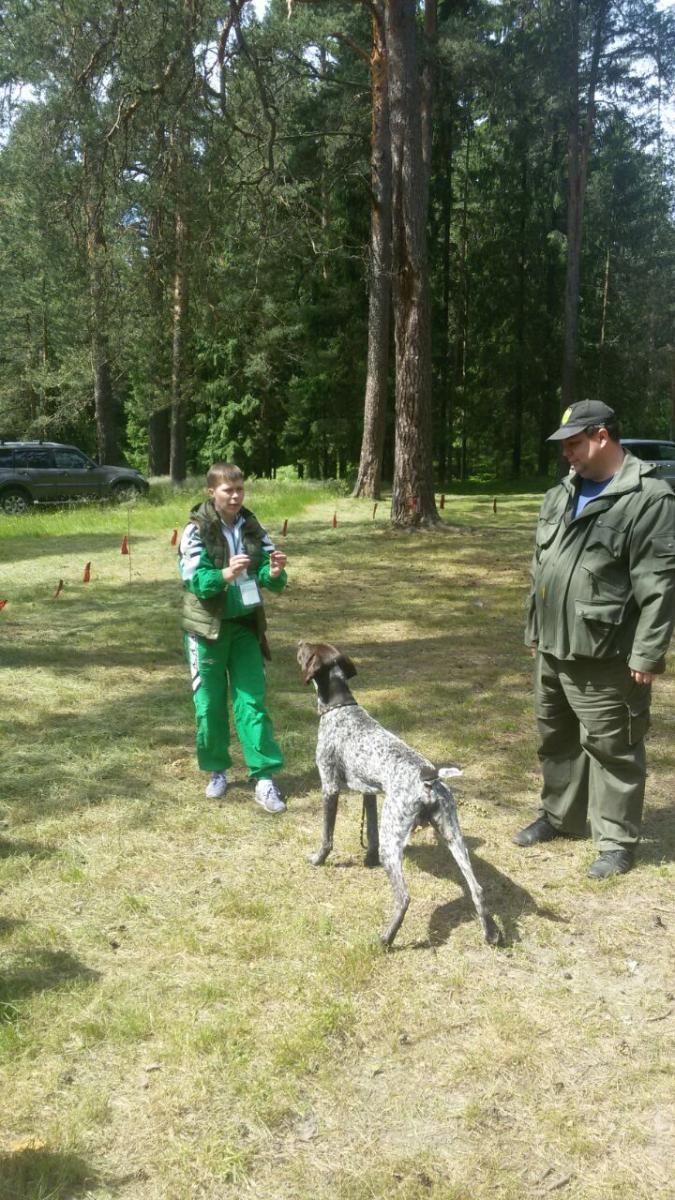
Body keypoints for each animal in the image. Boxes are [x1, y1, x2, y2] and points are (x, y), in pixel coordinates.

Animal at [297, 640, 502, 948]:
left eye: (308, 650)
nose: (298, 643)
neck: (340, 707)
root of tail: (429, 779)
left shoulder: (329, 786)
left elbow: (326, 836)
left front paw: (317, 860)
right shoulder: (369, 793)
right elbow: (370, 832)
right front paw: (368, 860)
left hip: (393, 842)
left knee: (404, 897)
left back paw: (386, 939)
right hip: (453, 837)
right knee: (476, 888)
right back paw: (490, 934)